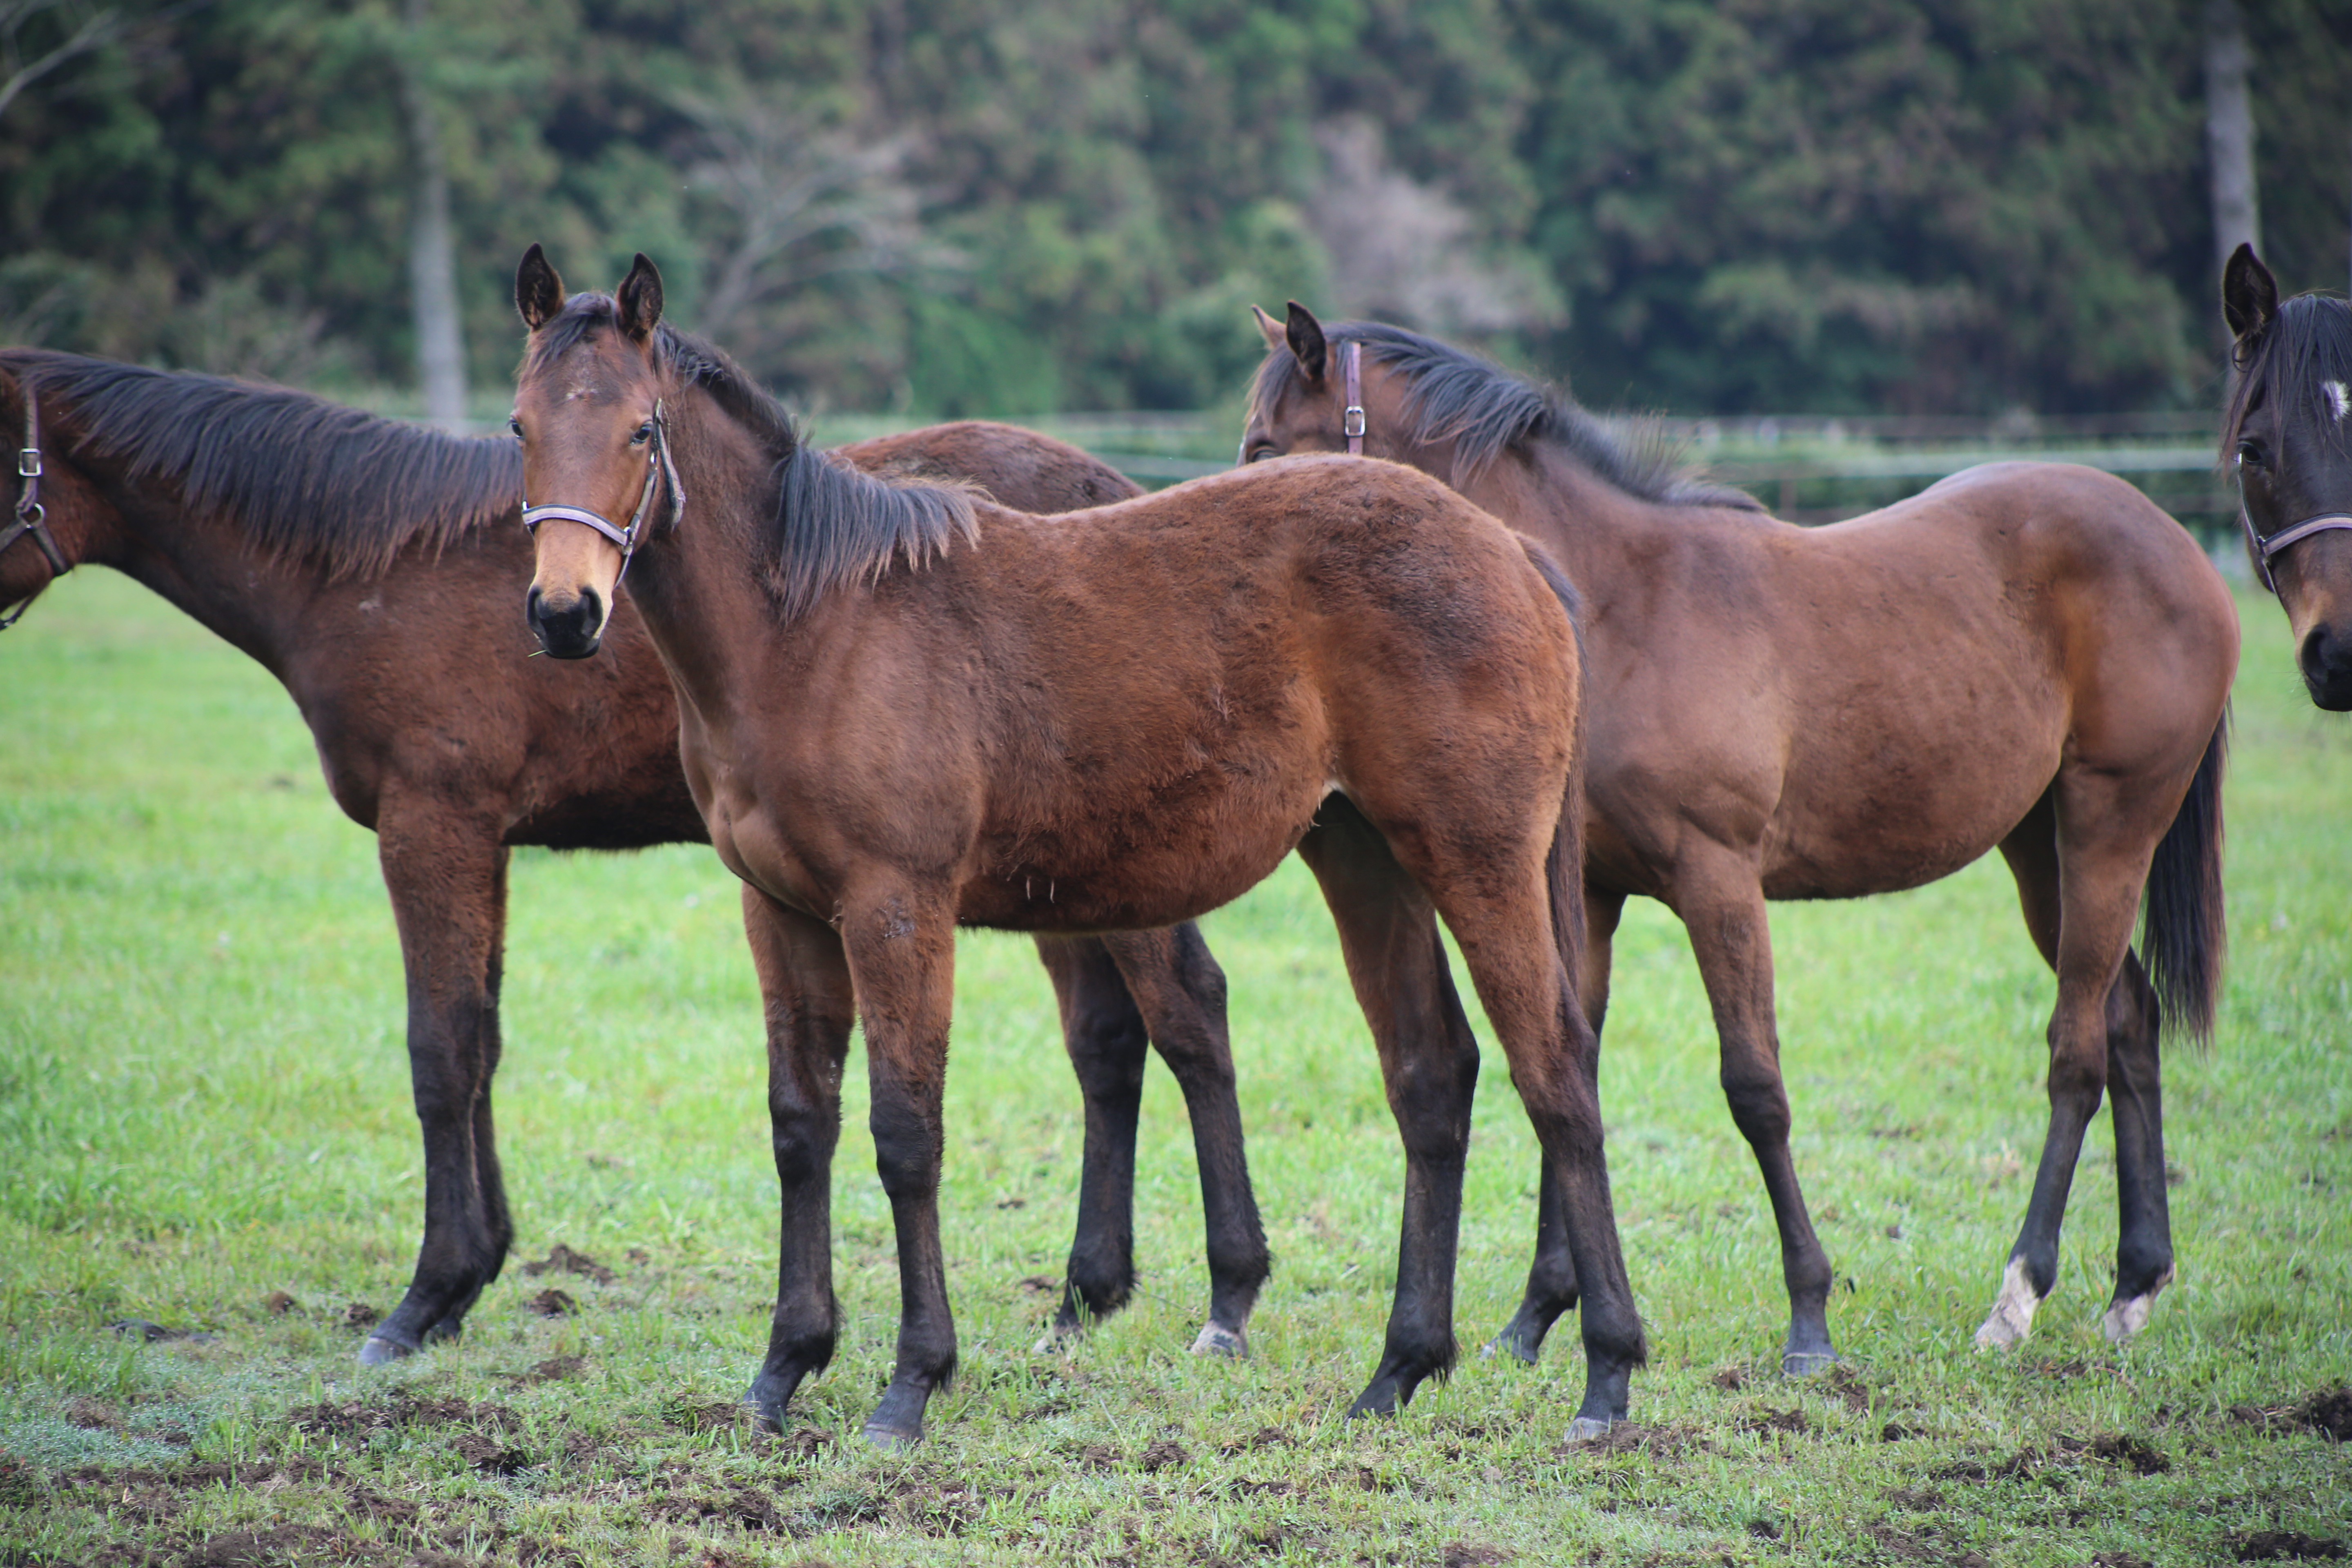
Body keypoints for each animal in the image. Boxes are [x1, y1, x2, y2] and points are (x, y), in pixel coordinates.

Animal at [1242, 303, 2230, 1373]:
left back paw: (2017, 1294)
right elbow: (1574, 1064)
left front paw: (1808, 1319)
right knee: (2129, 1020)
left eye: (1264, 448)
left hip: (2109, 825)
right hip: (2038, 848)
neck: (1617, 606)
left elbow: (1753, 1085)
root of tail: (2174, 543)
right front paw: (1537, 1315)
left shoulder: (1716, 878)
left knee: (2076, 1048)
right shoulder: (1589, 892)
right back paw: (2134, 1284)